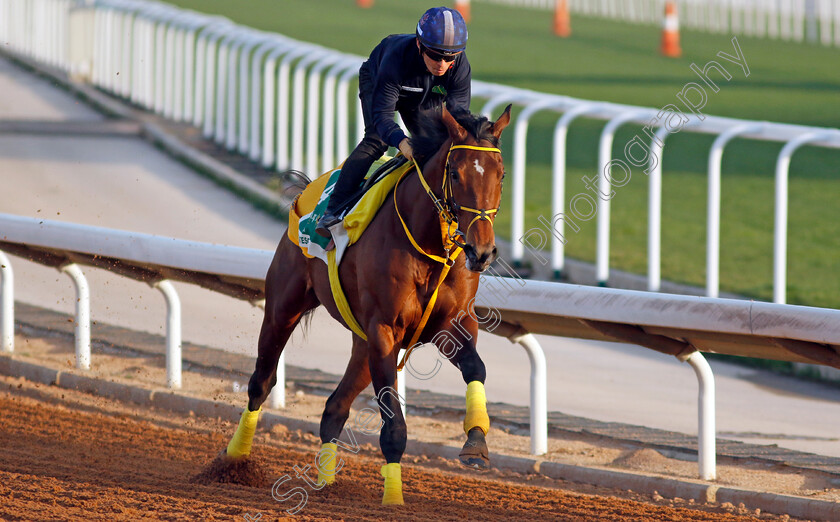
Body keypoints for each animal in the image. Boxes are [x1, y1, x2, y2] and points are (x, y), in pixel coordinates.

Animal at [223, 102, 512, 504]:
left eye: (501, 175)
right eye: (455, 173)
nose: (481, 251)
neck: (428, 243)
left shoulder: (451, 323)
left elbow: (476, 369)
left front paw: (476, 443)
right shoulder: (384, 330)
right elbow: (393, 422)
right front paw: (393, 498)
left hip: (361, 344)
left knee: (334, 407)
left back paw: (325, 482)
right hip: (284, 307)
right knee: (260, 383)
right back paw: (235, 459)